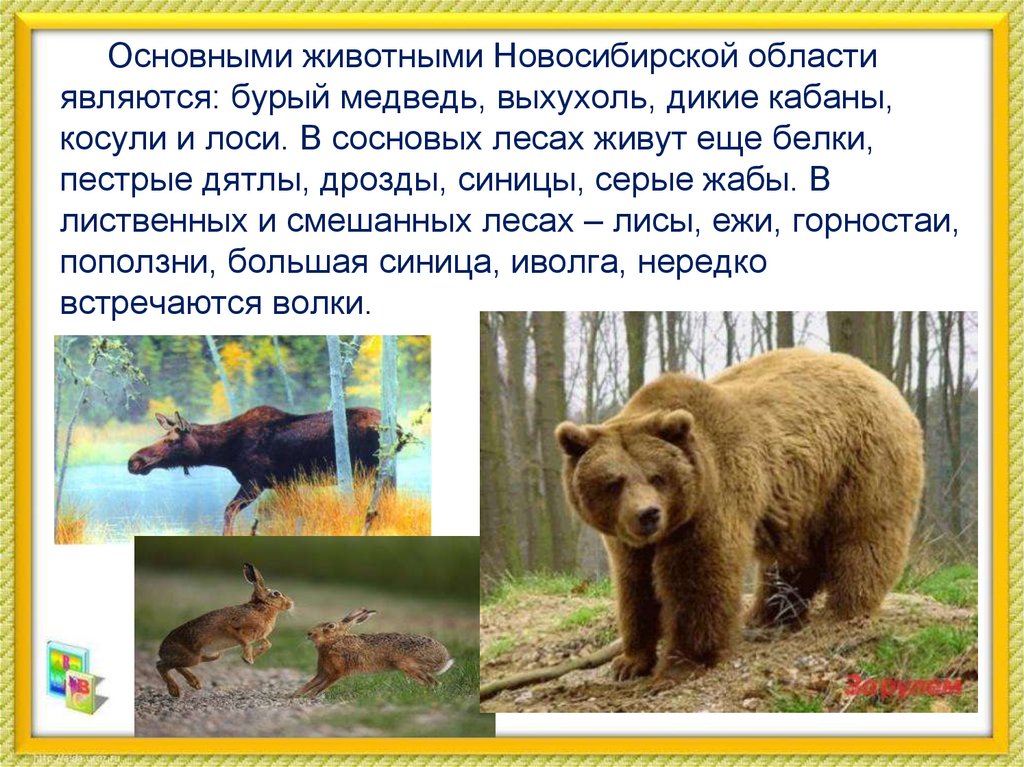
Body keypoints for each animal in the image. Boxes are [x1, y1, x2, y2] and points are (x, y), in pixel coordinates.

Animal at [555, 347, 924, 683]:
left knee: (863, 537)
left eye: (657, 476)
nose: (648, 514)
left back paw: (845, 609)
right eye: (614, 482)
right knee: (793, 559)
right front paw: (630, 662)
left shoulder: (710, 502)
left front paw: (681, 663)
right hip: (801, 497)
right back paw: (770, 614)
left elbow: (699, 577)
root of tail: (881, 379)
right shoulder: (627, 539)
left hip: (862, 463)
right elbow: (635, 585)